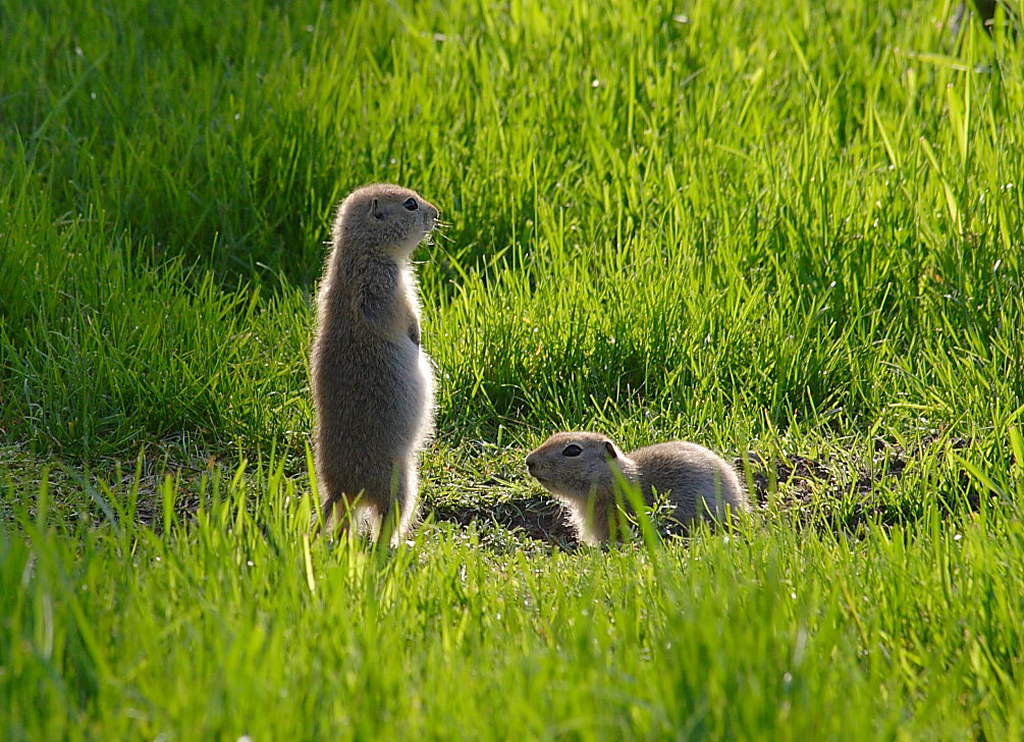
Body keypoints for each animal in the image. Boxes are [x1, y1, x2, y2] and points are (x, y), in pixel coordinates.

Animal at [311, 183, 440, 548]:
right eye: (410, 205)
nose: (436, 213)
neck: (362, 251)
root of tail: (344, 486)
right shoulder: (386, 285)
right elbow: (407, 317)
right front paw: (417, 338)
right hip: (401, 482)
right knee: (385, 521)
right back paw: (397, 545)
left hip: (352, 500)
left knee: (346, 522)